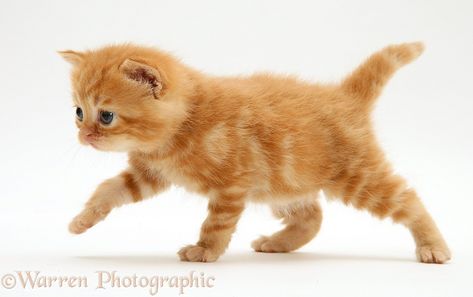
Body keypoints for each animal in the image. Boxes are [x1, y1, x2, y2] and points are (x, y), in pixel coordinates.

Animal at [60, 42, 450, 264]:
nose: (84, 135)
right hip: (284, 185)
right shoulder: (149, 174)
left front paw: (204, 251)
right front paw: (83, 219)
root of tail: (345, 95)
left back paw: (433, 246)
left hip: (358, 177)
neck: (181, 125)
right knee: (313, 216)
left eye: (106, 116)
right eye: (78, 112)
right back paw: (279, 243)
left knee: (408, 199)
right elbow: (109, 189)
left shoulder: (232, 185)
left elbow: (216, 224)